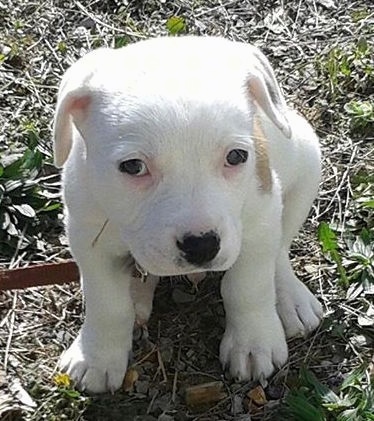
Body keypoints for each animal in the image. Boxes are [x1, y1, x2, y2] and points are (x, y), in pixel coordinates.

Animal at [54, 34, 322, 392]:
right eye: (133, 166)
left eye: (236, 156)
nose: (202, 246)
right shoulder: (88, 237)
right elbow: (106, 303)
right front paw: (96, 357)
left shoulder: (260, 221)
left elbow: (248, 286)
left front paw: (253, 344)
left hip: (306, 162)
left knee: (279, 251)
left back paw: (291, 299)